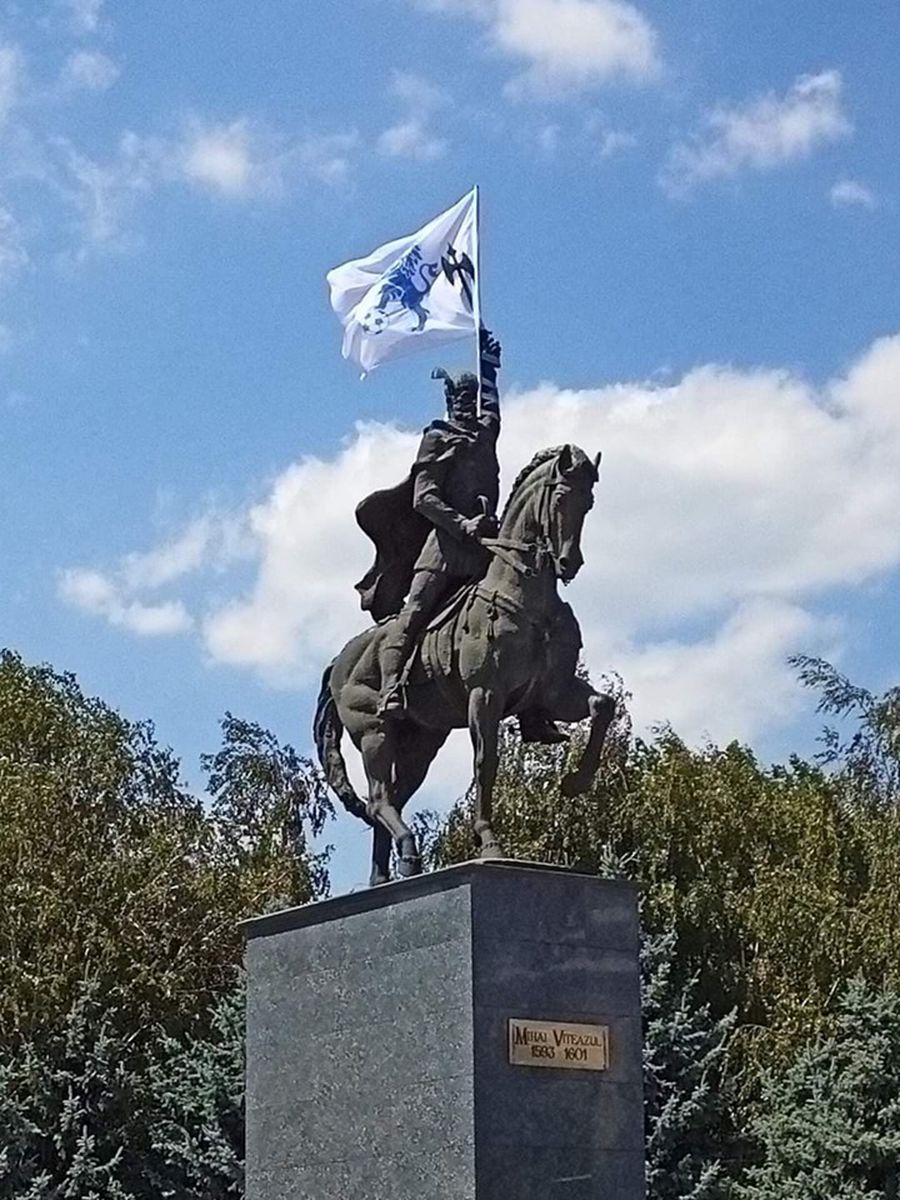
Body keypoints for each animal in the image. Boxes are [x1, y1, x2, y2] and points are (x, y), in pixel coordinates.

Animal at [314, 446, 619, 888]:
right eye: (561, 496)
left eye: (589, 502)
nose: (569, 562)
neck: (527, 596)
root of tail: (340, 660)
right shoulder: (485, 694)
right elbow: (485, 762)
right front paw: (489, 841)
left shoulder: (554, 692)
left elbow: (602, 706)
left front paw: (576, 781)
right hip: (374, 732)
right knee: (378, 800)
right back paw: (408, 849)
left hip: (421, 744)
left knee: (391, 799)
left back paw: (386, 876)